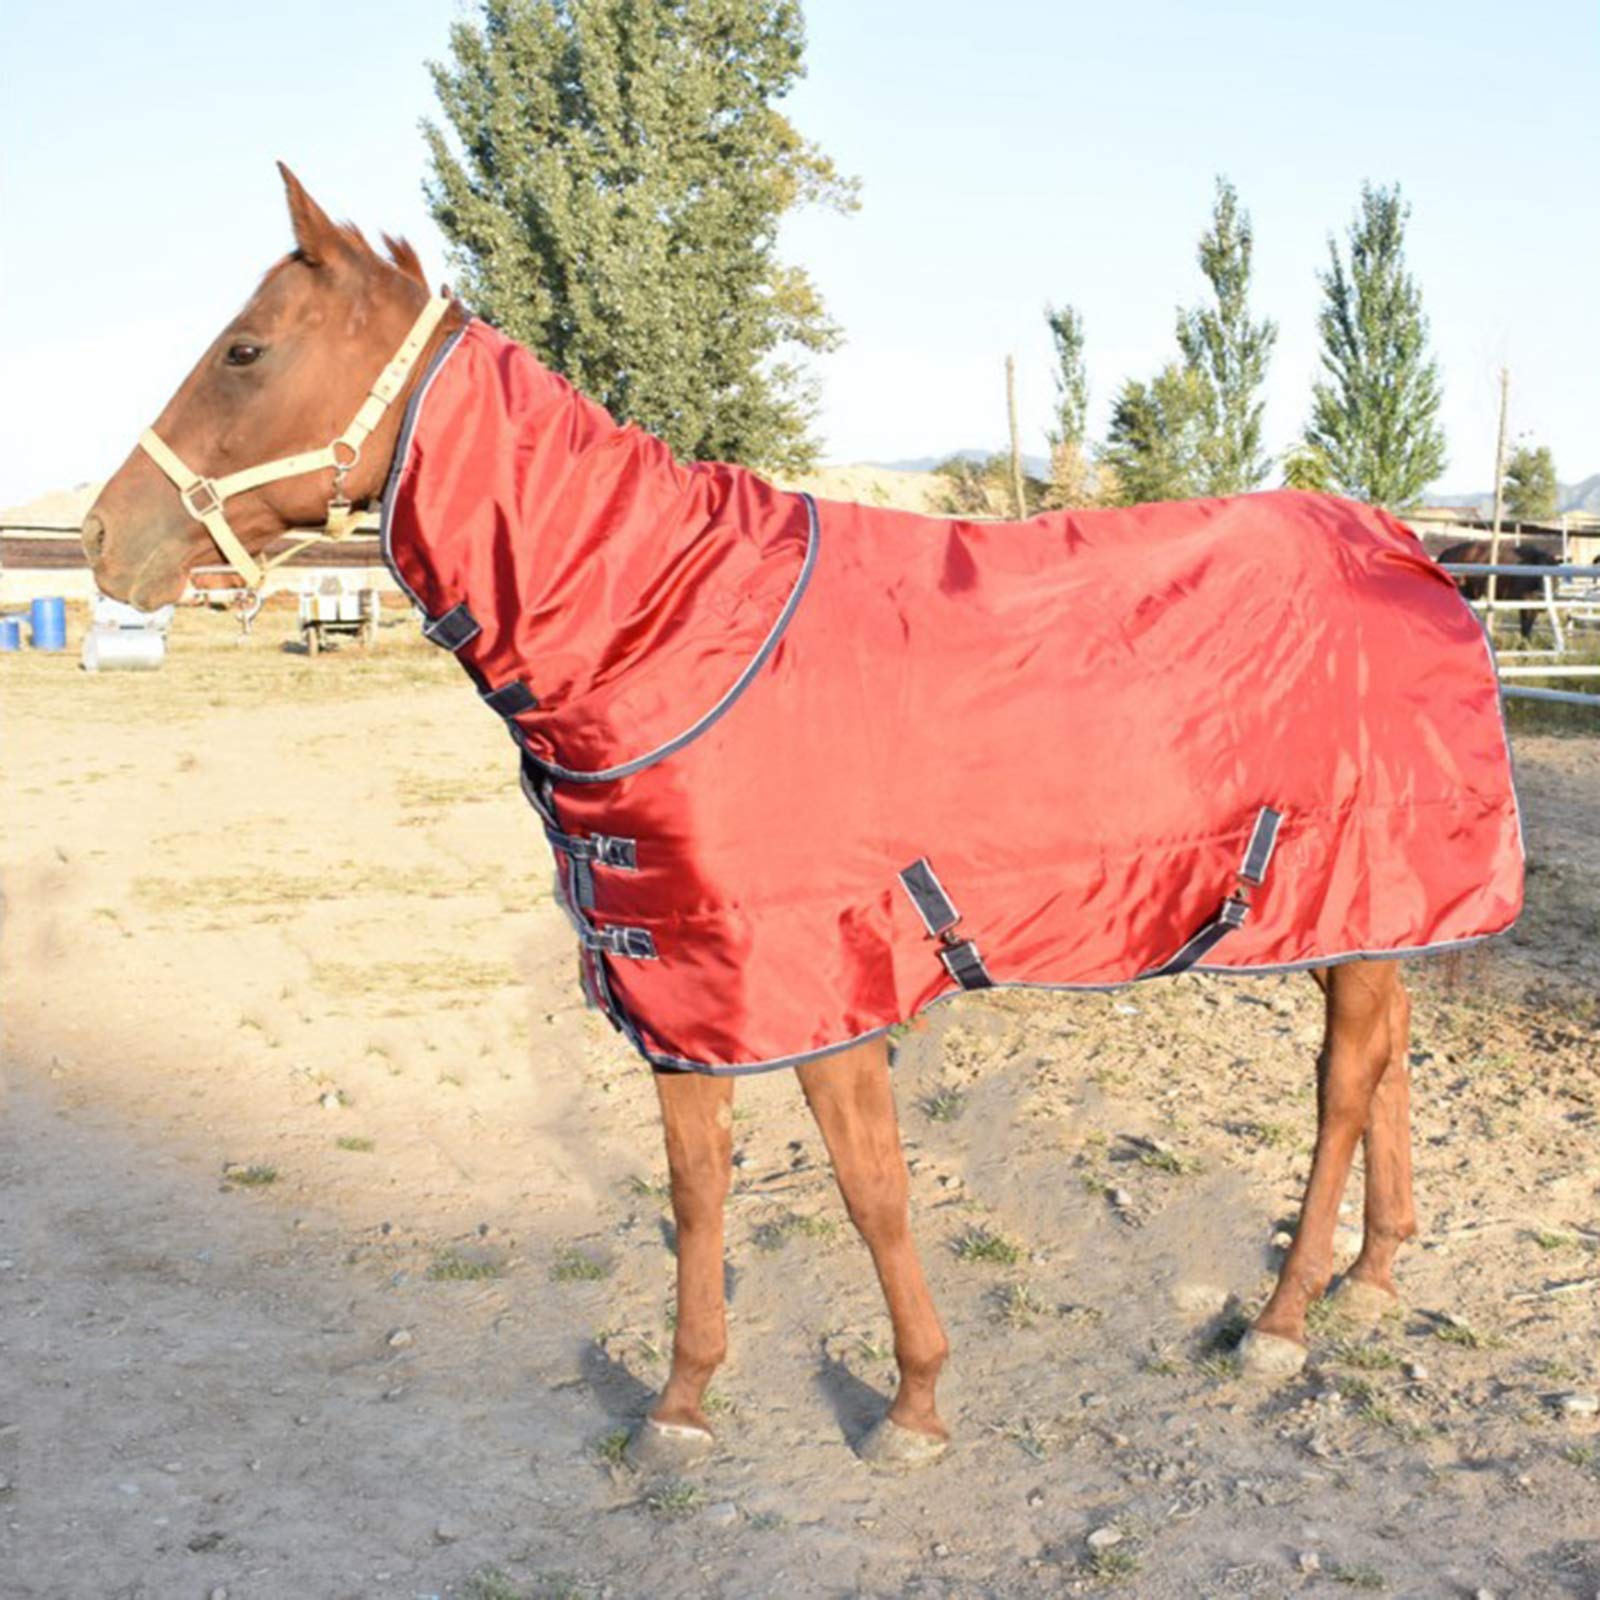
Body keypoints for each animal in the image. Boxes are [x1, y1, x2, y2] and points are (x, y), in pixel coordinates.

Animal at [82, 166, 1519, 1474]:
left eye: (245, 350)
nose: (101, 539)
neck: (669, 627)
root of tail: (1412, 548)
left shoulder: (826, 975)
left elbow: (872, 1192)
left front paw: (916, 1404)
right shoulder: (678, 983)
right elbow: (696, 1191)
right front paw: (682, 1404)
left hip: (1352, 882)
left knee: (1342, 1086)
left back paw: (1281, 1319)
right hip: (1365, 914)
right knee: (1384, 1066)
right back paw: (1370, 1281)